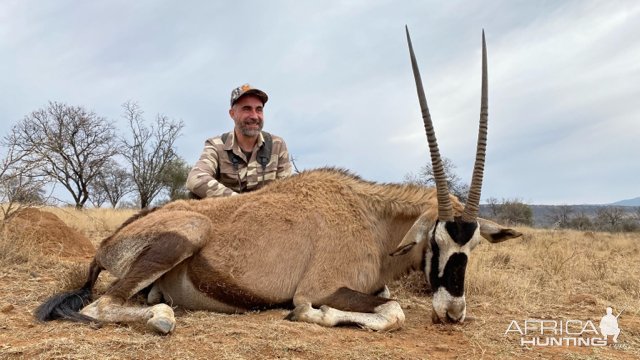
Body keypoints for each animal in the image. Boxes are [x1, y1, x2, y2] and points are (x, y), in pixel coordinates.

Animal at [35, 28, 520, 334]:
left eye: (473, 245)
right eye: (436, 241)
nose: (453, 313)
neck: (371, 219)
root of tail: (108, 242)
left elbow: (389, 299)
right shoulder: (322, 287)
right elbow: (391, 311)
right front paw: (307, 316)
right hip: (185, 234)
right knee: (103, 305)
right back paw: (161, 317)